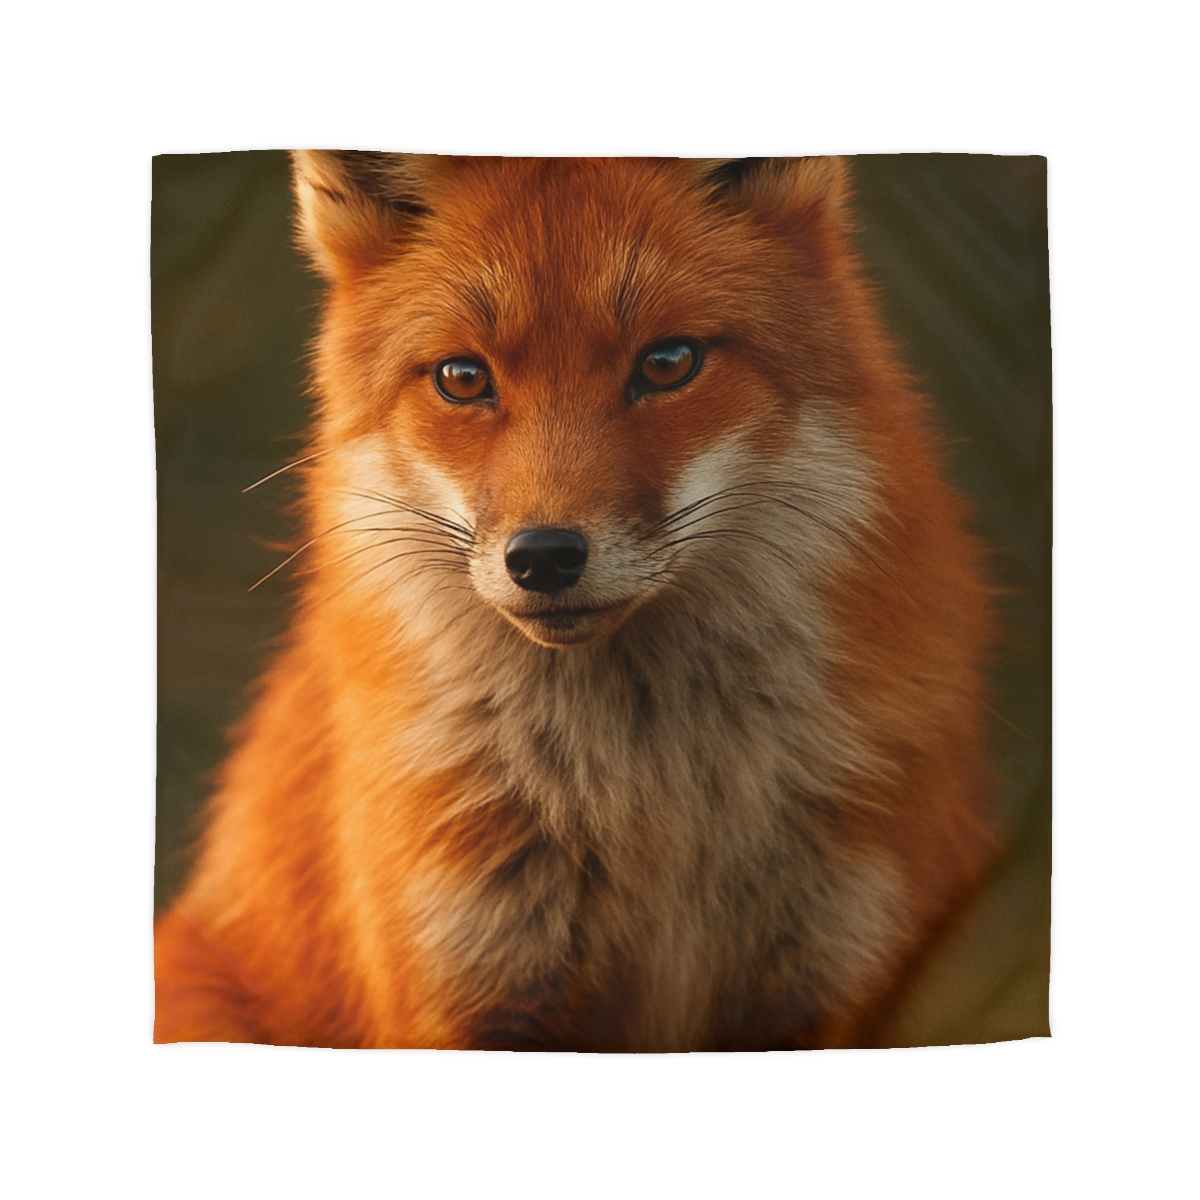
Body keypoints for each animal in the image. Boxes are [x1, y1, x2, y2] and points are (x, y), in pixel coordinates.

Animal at [153, 153, 994, 1051]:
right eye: (463, 378)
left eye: (668, 362)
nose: (544, 557)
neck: (648, 805)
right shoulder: (467, 986)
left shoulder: (830, 978)